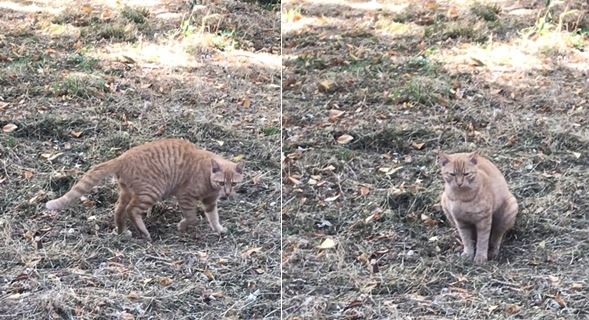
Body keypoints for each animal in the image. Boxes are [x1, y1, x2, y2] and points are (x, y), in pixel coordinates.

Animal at [45, 138, 243, 240]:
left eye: (233, 184)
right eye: (221, 183)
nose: (226, 193)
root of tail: (122, 157)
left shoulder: (210, 202)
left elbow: (213, 217)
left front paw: (219, 229)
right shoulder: (186, 196)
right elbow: (192, 217)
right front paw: (182, 226)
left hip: (127, 192)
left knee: (119, 210)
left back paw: (123, 231)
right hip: (151, 192)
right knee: (132, 210)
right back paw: (144, 233)